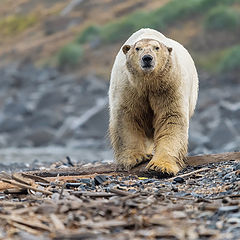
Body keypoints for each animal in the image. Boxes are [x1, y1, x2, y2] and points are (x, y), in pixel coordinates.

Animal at [109, 28, 199, 175]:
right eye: (137, 48)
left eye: (156, 48)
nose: (147, 58)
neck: (148, 83)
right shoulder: (128, 87)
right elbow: (127, 117)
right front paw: (136, 158)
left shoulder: (169, 86)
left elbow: (171, 118)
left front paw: (160, 167)